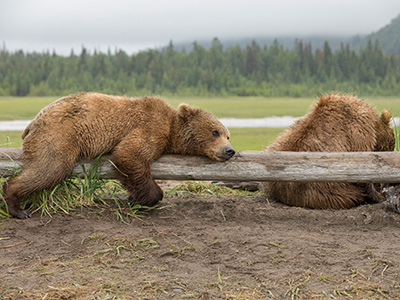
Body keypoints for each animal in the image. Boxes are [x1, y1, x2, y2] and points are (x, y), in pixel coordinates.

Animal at [1, 92, 236, 218]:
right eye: (215, 132)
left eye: (228, 134)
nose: (230, 151)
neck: (172, 130)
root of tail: (30, 124)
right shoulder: (151, 125)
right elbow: (130, 154)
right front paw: (149, 197)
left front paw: (134, 197)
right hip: (57, 135)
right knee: (50, 168)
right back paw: (17, 207)